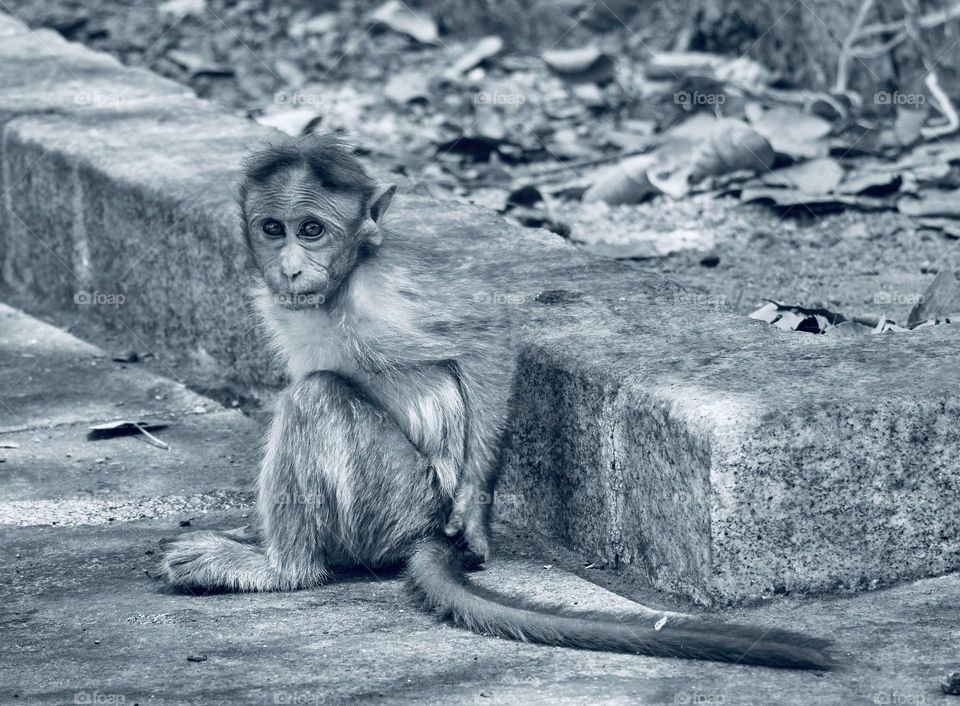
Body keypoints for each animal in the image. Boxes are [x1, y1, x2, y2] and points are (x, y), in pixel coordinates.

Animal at [159, 135, 832, 668]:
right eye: (273, 228)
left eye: (312, 230)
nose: (293, 267)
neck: (340, 288)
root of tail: (421, 529)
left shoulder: (387, 295)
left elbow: (488, 341)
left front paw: (476, 512)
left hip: (393, 499)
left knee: (316, 397)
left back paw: (285, 567)